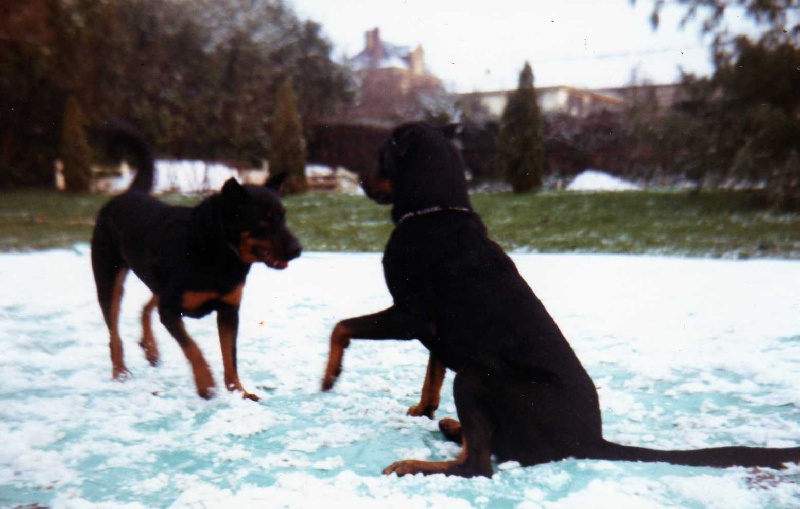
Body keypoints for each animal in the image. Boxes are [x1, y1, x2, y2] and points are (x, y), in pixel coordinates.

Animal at [90, 121, 302, 398]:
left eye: (283, 216)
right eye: (263, 222)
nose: (298, 249)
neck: (220, 251)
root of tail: (127, 194)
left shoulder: (228, 311)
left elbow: (230, 357)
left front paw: (239, 392)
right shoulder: (170, 310)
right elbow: (193, 347)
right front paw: (206, 383)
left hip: (157, 284)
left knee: (147, 306)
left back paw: (150, 348)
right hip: (108, 280)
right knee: (114, 331)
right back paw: (120, 372)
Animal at [320, 122, 800, 476]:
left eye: (381, 153)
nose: (358, 180)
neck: (434, 210)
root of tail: (591, 441)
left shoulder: (411, 317)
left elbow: (342, 326)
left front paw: (330, 375)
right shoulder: (436, 330)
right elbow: (432, 371)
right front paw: (423, 407)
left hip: (476, 376)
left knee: (479, 464)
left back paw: (416, 463)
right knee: (488, 446)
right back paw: (449, 426)